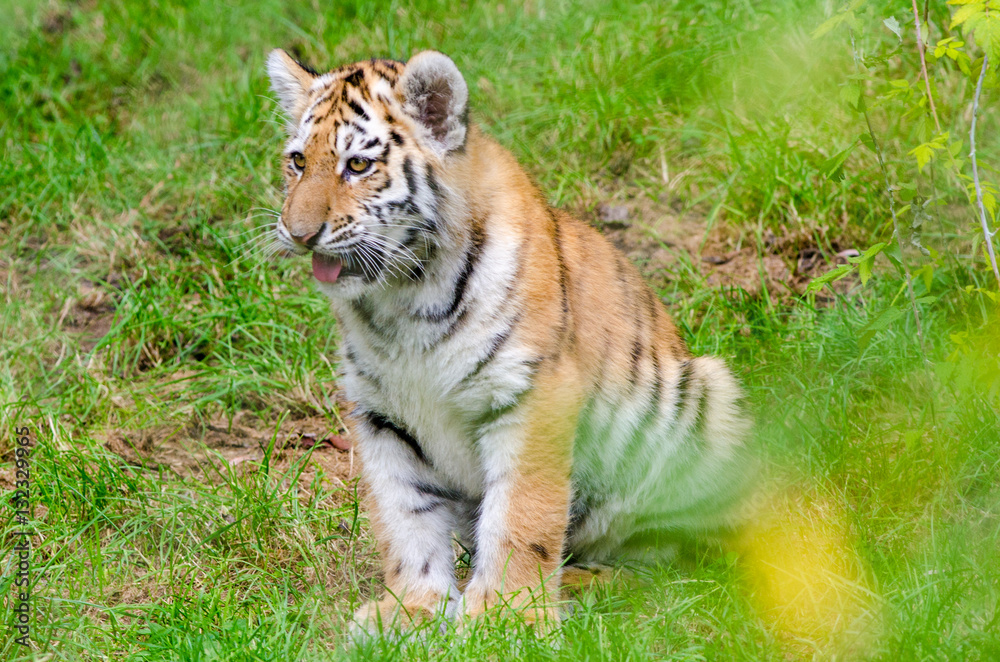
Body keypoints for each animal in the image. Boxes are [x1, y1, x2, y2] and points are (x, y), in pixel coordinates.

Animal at [264, 48, 754, 633]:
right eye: (298, 161)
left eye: (358, 166)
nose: (298, 233)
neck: (402, 298)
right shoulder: (382, 414)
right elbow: (406, 515)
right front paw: (413, 609)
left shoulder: (532, 392)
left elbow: (522, 513)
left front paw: (507, 619)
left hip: (709, 395)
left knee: (666, 559)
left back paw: (583, 585)